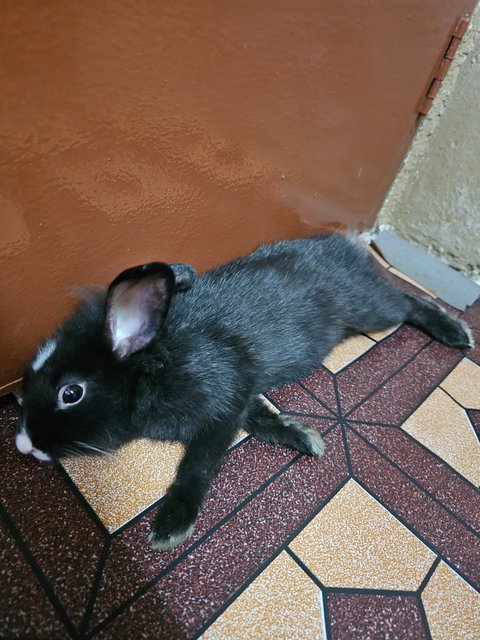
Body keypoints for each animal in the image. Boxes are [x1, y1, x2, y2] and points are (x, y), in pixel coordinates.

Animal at [15, 235, 472, 552]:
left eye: (71, 393)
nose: (23, 444)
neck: (155, 368)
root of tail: (345, 245)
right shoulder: (239, 395)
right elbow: (262, 417)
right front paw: (306, 439)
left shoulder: (221, 409)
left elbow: (198, 464)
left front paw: (171, 527)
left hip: (369, 311)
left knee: (407, 300)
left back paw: (456, 332)